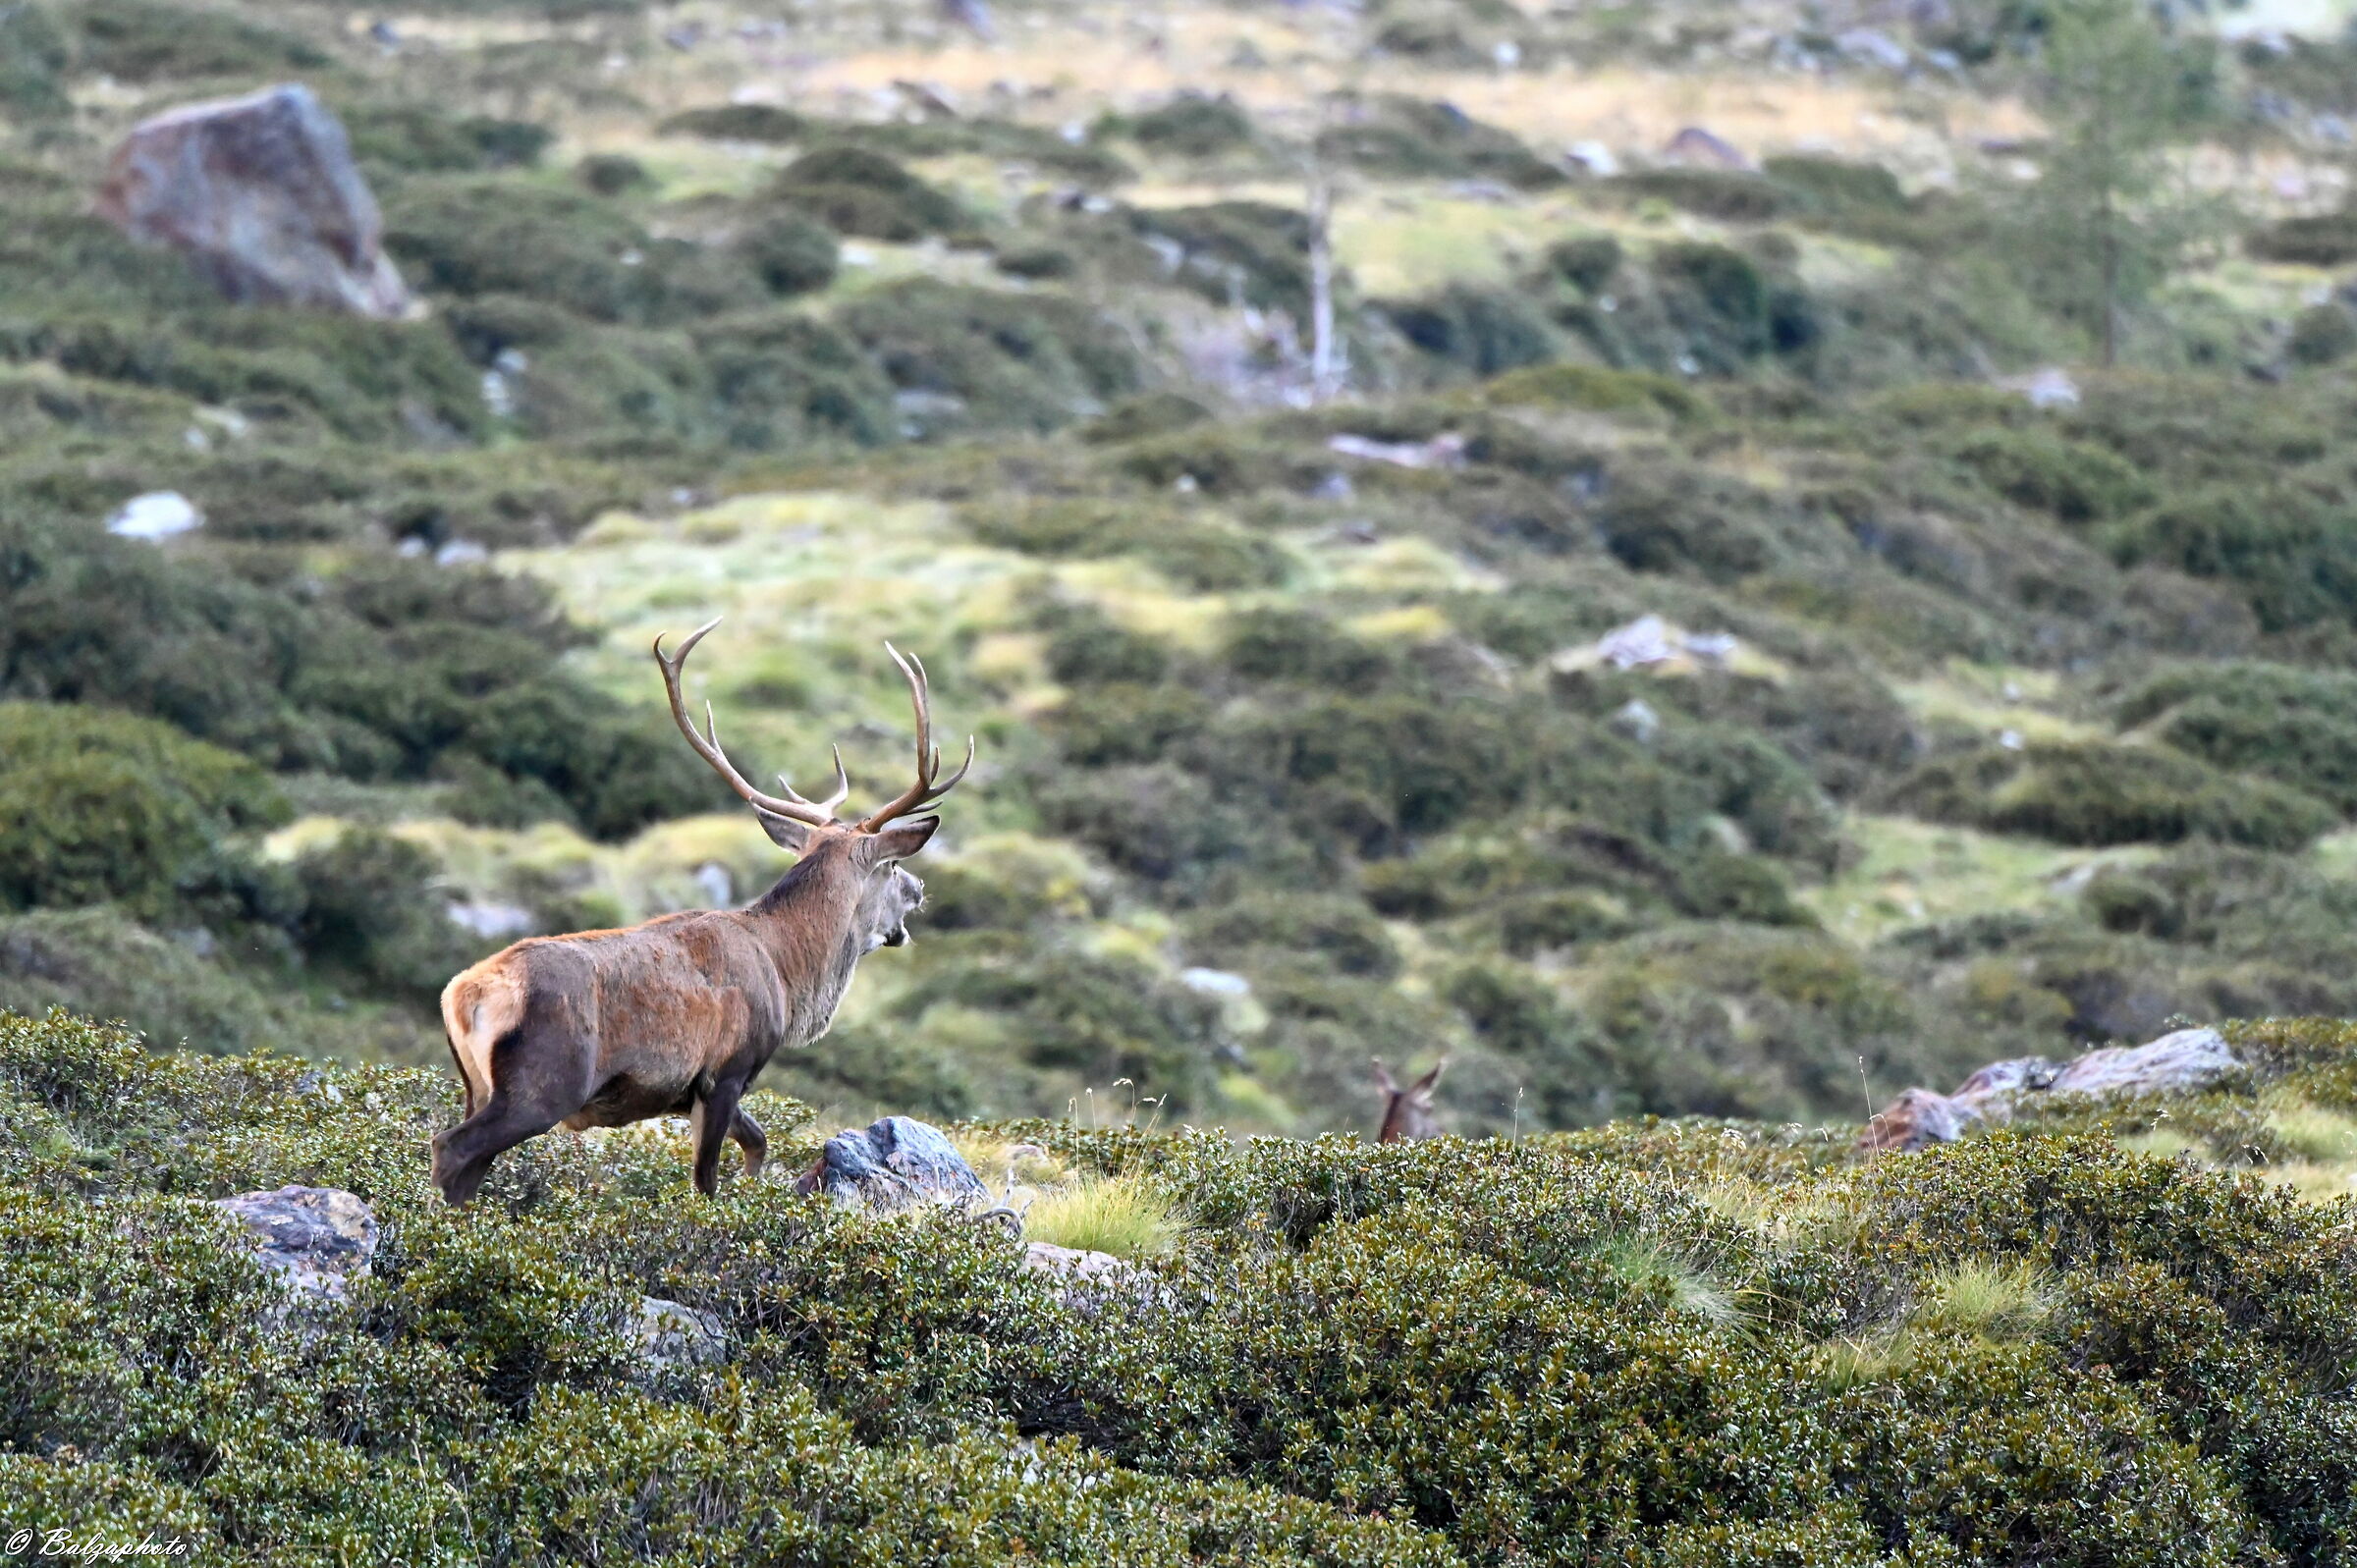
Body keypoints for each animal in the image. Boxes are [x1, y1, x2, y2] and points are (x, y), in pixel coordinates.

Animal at [428, 619, 972, 1205]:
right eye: (892, 867)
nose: (919, 889)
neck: (786, 974)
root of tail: (464, 994)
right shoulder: (726, 1071)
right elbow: (706, 1179)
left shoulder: (694, 1092)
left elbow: (757, 1142)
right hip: (543, 1080)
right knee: (451, 1146)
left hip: (476, 1082)